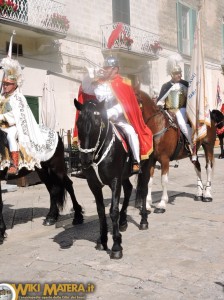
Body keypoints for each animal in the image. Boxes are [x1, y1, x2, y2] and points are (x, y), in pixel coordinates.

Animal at [75, 99, 152, 258]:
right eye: (78, 123)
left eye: (97, 123)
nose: (85, 159)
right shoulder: (93, 184)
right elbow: (100, 211)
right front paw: (102, 240)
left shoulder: (114, 181)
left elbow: (113, 211)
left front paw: (116, 246)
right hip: (125, 175)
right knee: (128, 189)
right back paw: (123, 222)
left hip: (146, 169)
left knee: (143, 191)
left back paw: (143, 221)